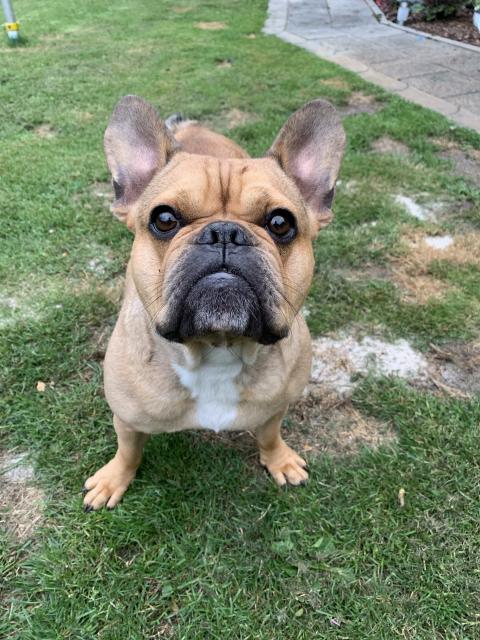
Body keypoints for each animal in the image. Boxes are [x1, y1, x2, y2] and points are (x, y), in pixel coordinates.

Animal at [82, 95, 345, 511]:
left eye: (281, 223)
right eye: (164, 219)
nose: (224, 232)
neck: (217, 349)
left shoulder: (277, 407)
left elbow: (269, 434)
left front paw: (279, 460)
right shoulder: (125, 418)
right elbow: (128, 450)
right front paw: (114, 480)